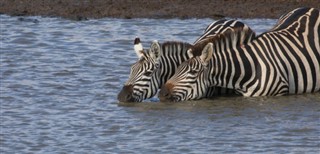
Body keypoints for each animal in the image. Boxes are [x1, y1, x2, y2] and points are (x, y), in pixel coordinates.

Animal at [160, 7, 320, 101]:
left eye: (193, 72)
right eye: (177, 69)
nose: (162, 93)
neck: (250, 69)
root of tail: (311, 7)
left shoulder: (279, 93)